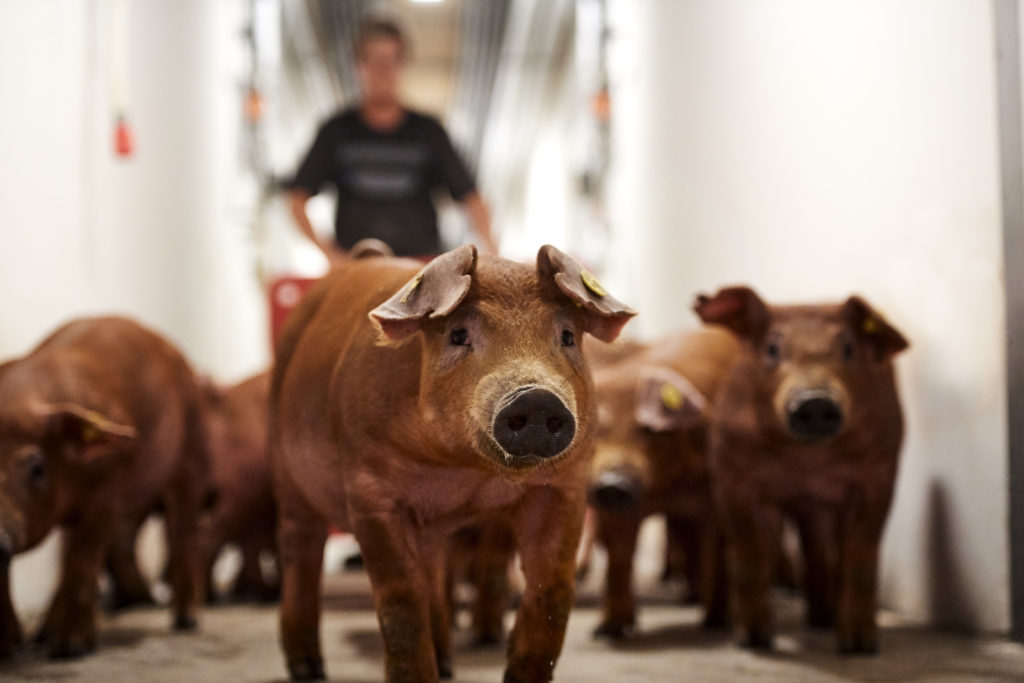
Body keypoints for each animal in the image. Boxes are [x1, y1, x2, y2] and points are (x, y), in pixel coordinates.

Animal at [0, 317, 208, 659]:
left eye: (36, 467)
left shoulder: (108, 489)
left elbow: (84, 560)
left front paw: (71, 649)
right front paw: (10, 648)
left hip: (192, 450)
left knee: (182, 530)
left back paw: (186, 621)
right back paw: (42, 634)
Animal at [271, 244, 635, 681]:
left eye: (566, 336)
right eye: (458, 335)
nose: (535, 397)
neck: (463, 470)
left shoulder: (564, 486)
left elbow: (552, 591)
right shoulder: (369, 491)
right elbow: (399, 601)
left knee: (432, 573)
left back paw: (447, 664)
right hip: (287, 474)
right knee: (301, 551)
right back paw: (307, 668)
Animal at [587, 329, 738, 638]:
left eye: (649, 431)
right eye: (597, 431)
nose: (613, 483)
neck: (669, 491)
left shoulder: (718, 497)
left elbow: (717, 553)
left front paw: (718, 622)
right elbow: (620, 557)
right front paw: (608, 630)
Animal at [694, 286, 908, 654]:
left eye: (848, 347)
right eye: (772, 348)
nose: (816, 400)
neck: (808, 463)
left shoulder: (880, 476)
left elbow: (861, 558)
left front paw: (860, 646)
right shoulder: (733, 476)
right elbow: (750, 554)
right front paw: (753, 641)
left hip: (818, 509)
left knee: (819, 551)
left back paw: (823, 620)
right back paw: (715, 622)